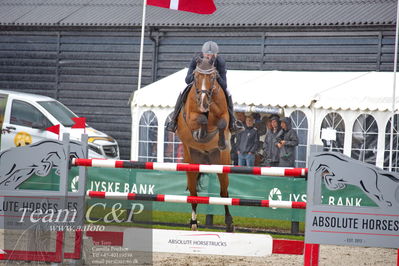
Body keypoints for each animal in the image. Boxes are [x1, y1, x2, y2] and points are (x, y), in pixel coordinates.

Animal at [176, 55, 234, 231]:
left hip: (222, 164)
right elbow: (200, 119)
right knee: (193, 195)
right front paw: (200, 133)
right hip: (191, 165)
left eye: (213, 77)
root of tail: (206, 159)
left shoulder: (223, 115)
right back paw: (193, 223)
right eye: (195, 76)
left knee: (224, 193)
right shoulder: (191, 117)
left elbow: (222, 123)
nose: (203, 103)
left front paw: (221, 142)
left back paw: (229, 224)